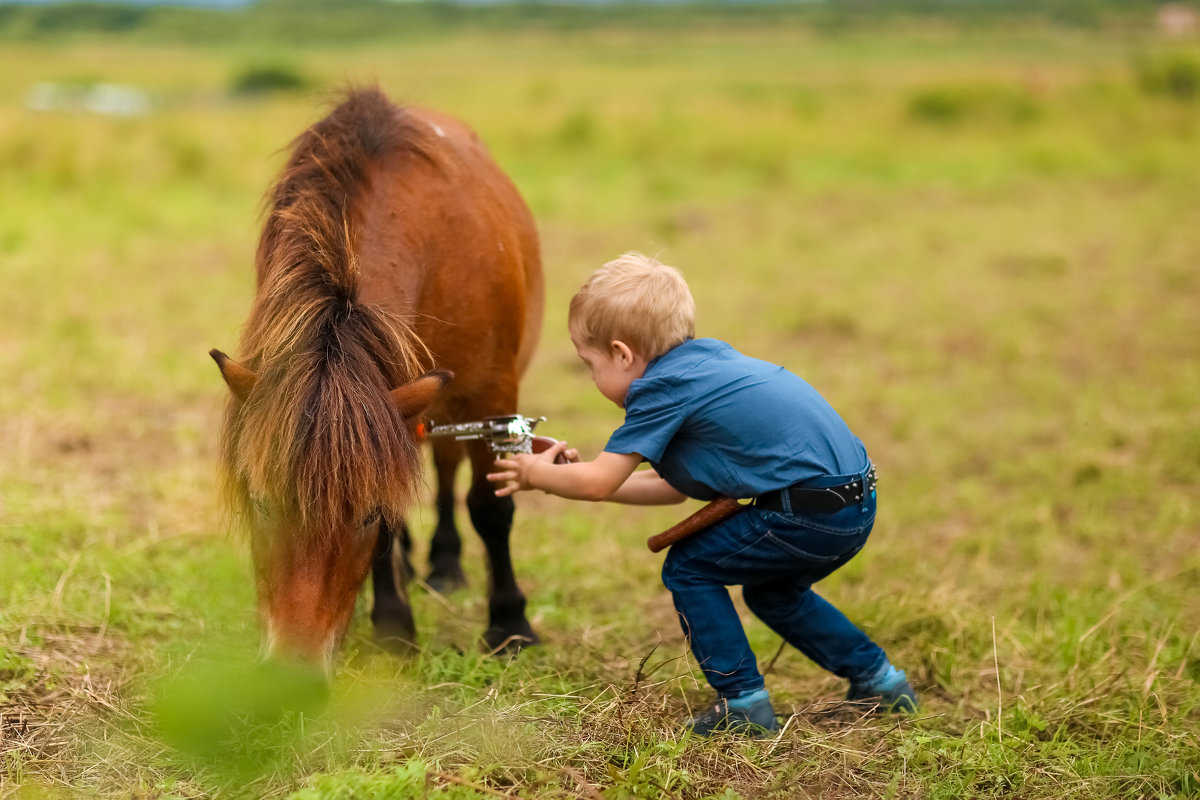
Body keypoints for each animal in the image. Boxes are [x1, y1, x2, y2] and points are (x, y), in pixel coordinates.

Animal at [211, 87, 544, 671]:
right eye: (262, 504)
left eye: (364, 517)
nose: (292, 674)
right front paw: (393, 626)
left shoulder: (493, 397)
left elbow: (490, 508)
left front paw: (510, 624)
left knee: (448, 469)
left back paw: (445, 564)